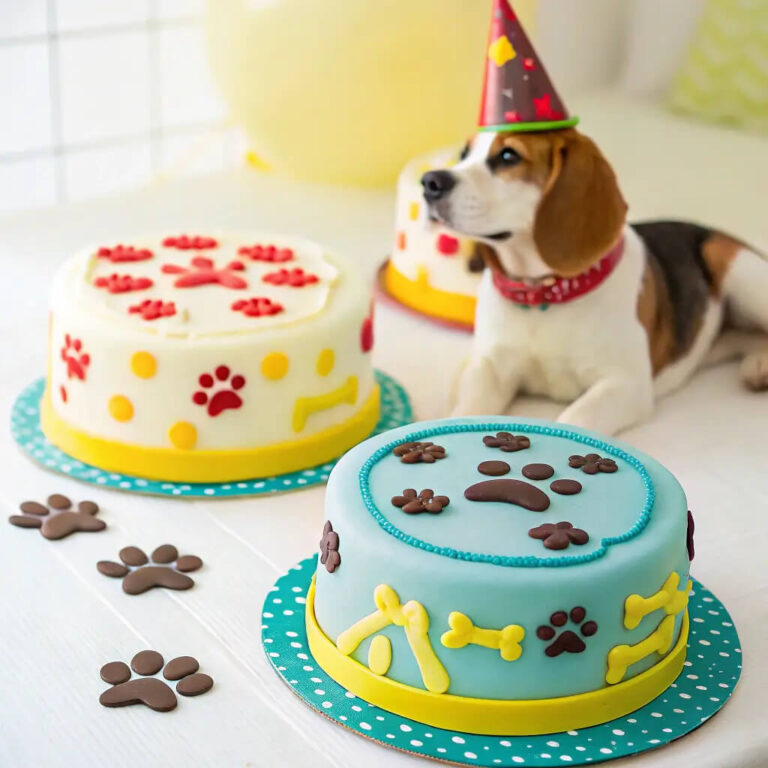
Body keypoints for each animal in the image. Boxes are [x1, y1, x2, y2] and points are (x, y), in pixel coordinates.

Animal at [424, 129, 764, 436]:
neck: (545, 296)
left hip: (735, 267)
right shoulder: (489, 368)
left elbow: (575, 418)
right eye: (464, 154)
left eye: (509, 156)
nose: (429, 182)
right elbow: (465, 412)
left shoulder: (626, 385)